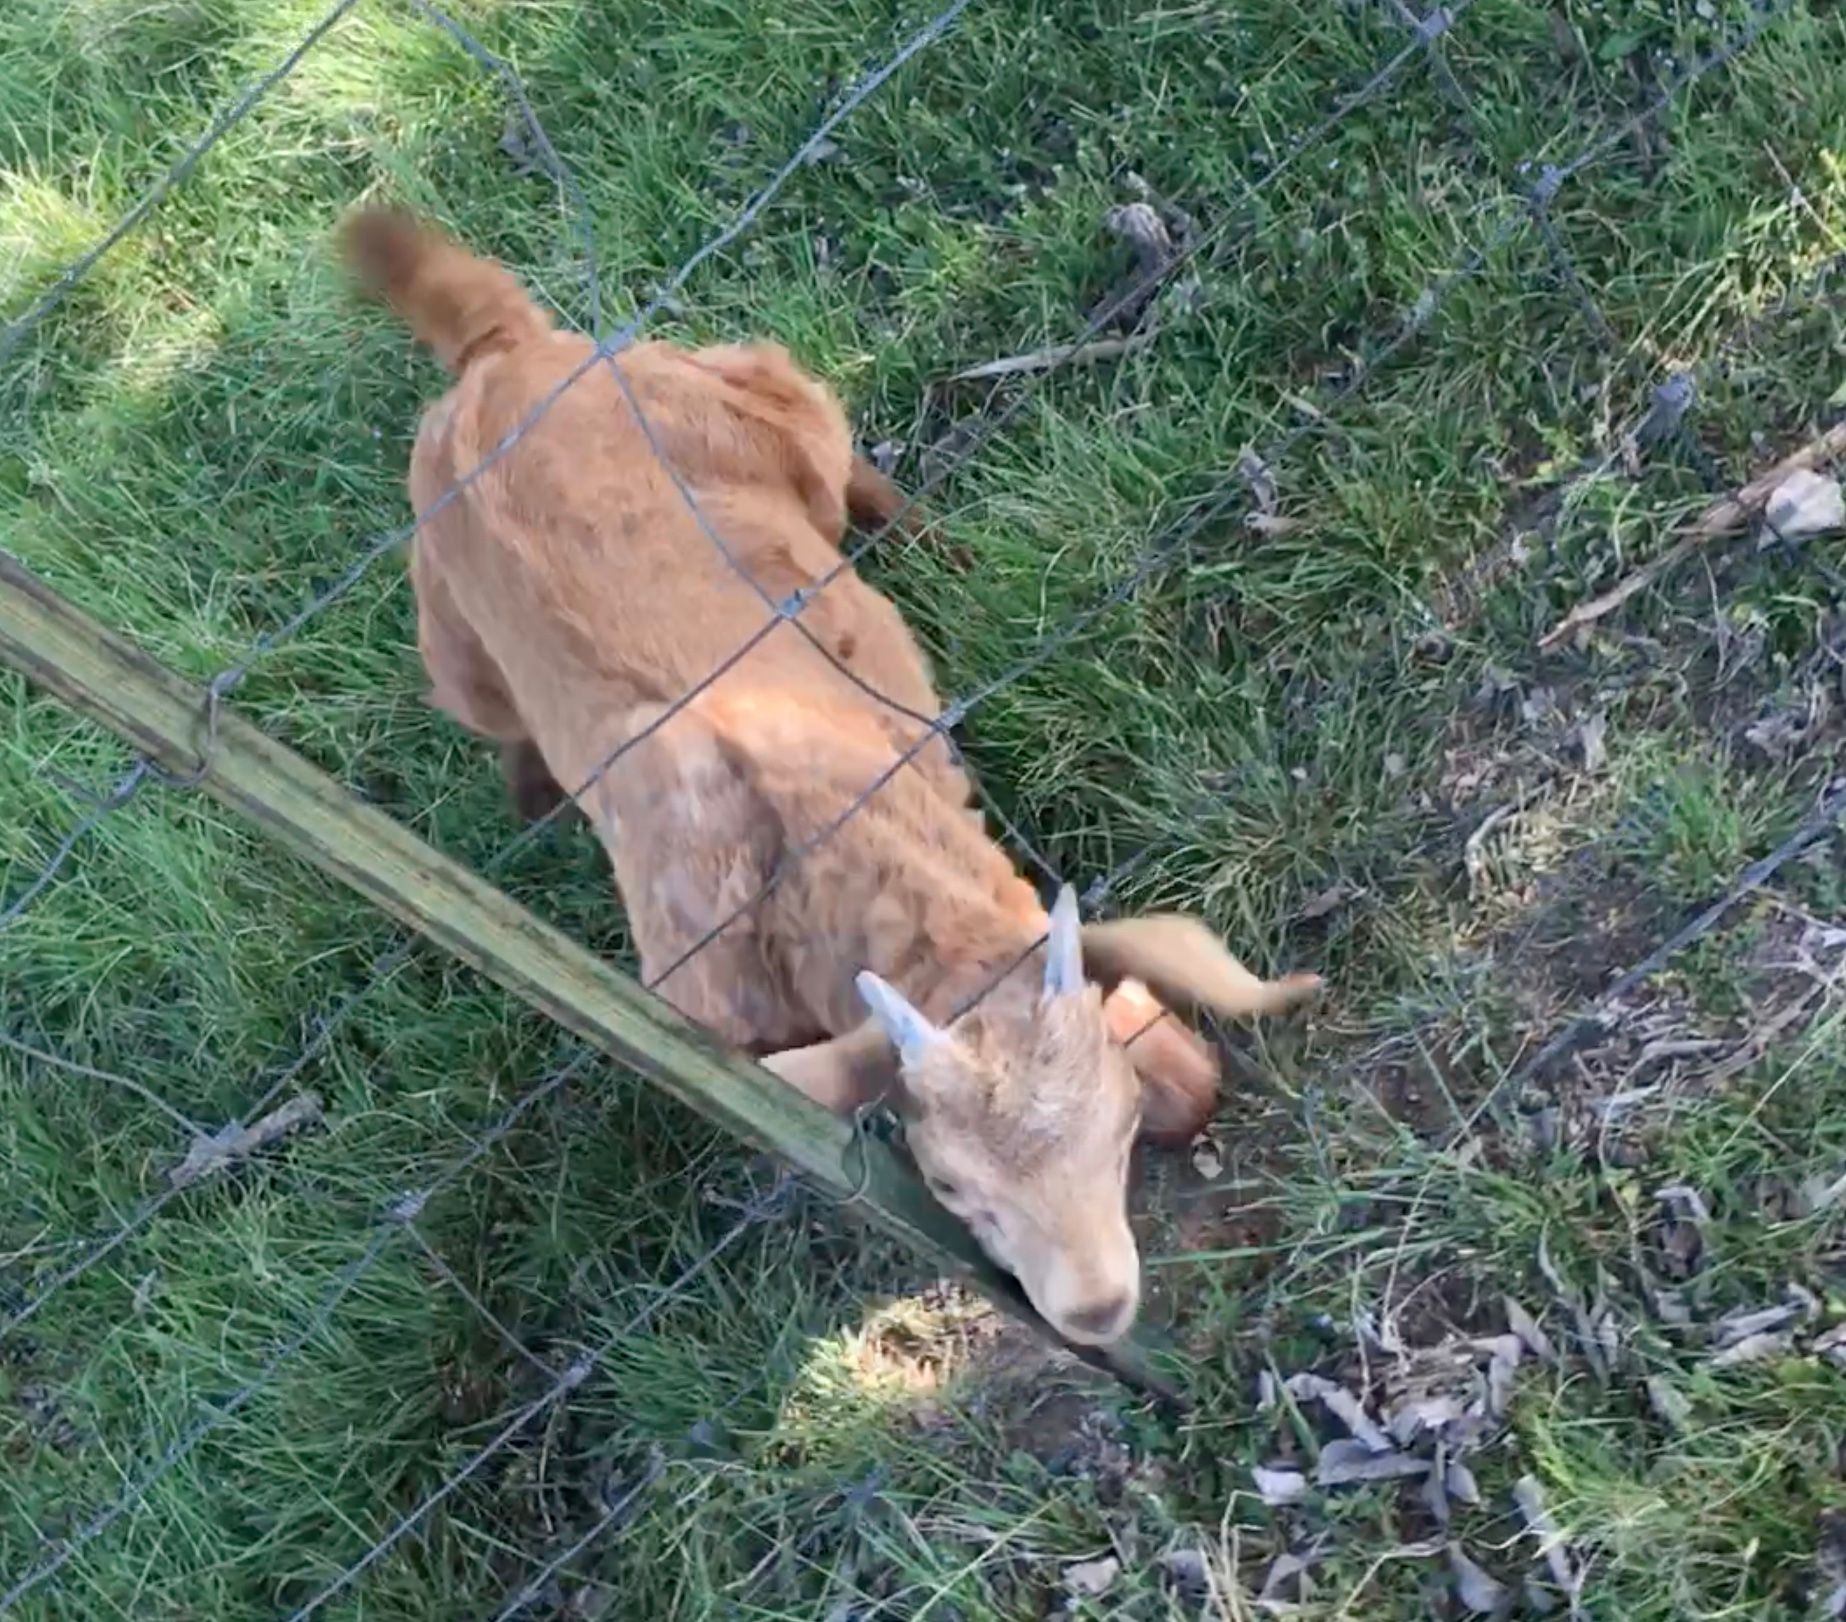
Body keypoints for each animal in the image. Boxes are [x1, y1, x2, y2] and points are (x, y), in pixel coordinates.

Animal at [341, 207, 1321, 1346]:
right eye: (954, 1191)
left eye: (1112, 1129)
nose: (1095, 1309)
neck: (805, 868)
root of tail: (498, 355)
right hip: (452, 630)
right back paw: (530, 788)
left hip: (751, 401)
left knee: (835, 451)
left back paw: (940, 545)